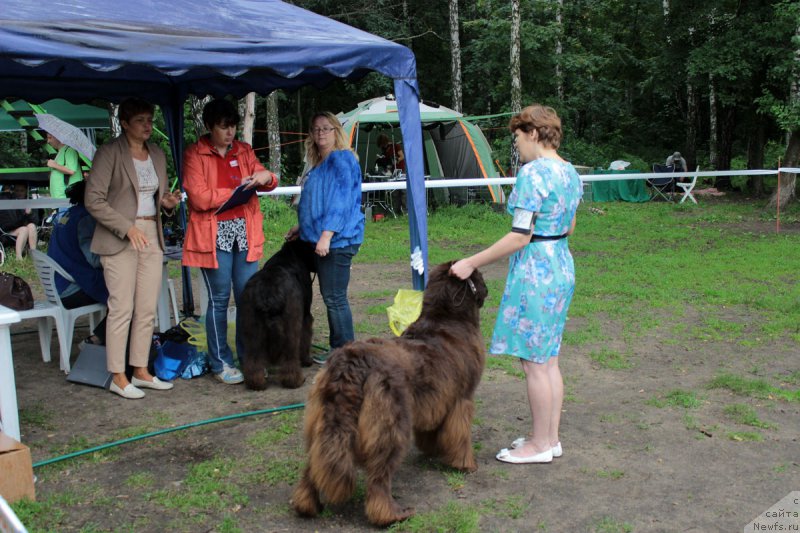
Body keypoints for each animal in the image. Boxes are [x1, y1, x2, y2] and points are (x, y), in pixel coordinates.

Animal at [238, 239, 316, 388]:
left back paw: (256, 382)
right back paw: (294, 380)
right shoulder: (305, 316)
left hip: (252, 327)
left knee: (253, 357)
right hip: (291, 325)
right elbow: (305, 338)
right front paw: (307, 360)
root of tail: (269, 293)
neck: (294, 252)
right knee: (290, 355)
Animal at [290, 260, 484, 524]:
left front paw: (432, 450)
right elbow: (461, 434)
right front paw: (465, 464)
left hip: (322, 417)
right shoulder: (461, 399)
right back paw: (391, 515)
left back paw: (306, 505)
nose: (486, 291)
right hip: (390, 423)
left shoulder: (434, 399)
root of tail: (350, 364)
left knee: (313, 464)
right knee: (379, 475)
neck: (445, 318)